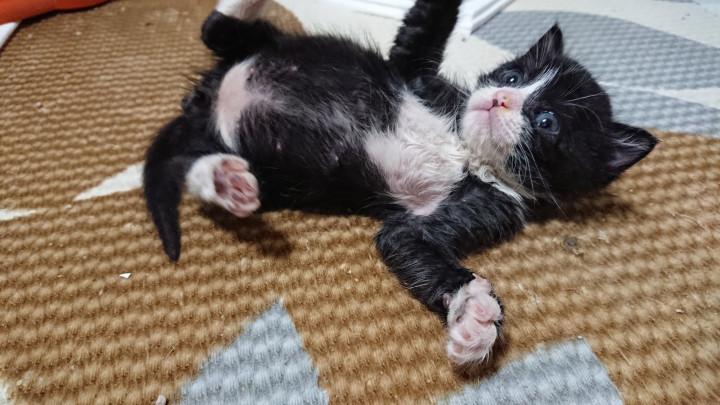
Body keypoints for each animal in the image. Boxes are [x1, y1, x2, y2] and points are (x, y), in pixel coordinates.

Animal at [143, 0, 657, 366]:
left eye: (547, 120)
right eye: (512, 76)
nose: (501, 100)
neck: (465, 148)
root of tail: (205, 100)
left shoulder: (486, 206)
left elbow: (407, 242)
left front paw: (472, 318)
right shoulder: (413, 71)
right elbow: (423, 26)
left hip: (276, 173)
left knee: (201, 164)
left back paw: (224, 180)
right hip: (268, 50)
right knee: (216, 29)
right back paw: (248, 4)